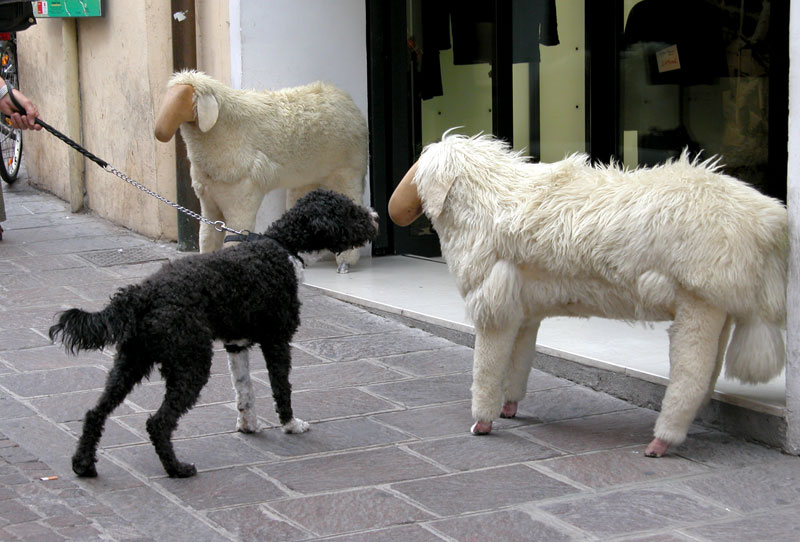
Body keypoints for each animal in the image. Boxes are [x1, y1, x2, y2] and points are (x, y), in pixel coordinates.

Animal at [51, 189, 380, 478]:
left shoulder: (236, 345)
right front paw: (290, 424)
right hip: (190, 363)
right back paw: (177, 469)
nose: (376, 217)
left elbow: (244, 390)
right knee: (158, 422)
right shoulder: (277, 340)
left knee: (95, 413)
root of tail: (142, 294)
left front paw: (248, 425)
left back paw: (83, 465)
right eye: (350, 211)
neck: (282, 246)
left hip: (129, 362)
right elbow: (281, 387)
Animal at [154, 70, 368, 274]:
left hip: (347, 172)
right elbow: (206, 239)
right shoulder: (209, 202)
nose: (158, 132)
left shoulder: (241, 198)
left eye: (183, 98)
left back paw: (345, 263)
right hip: (307, 177)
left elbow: (234, 238)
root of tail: (344, 98)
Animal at [390, 133, 788, 460]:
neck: (488, 200)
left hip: (699, 301)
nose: (397, 210)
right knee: (708, 374)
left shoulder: (494, 307)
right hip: (719, 305)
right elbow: (519, 362)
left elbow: (486, 369)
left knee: (690, 375)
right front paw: (510, 407)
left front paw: (482, 423)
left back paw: (661, 442)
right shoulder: (524, 310)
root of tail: (767, 219)